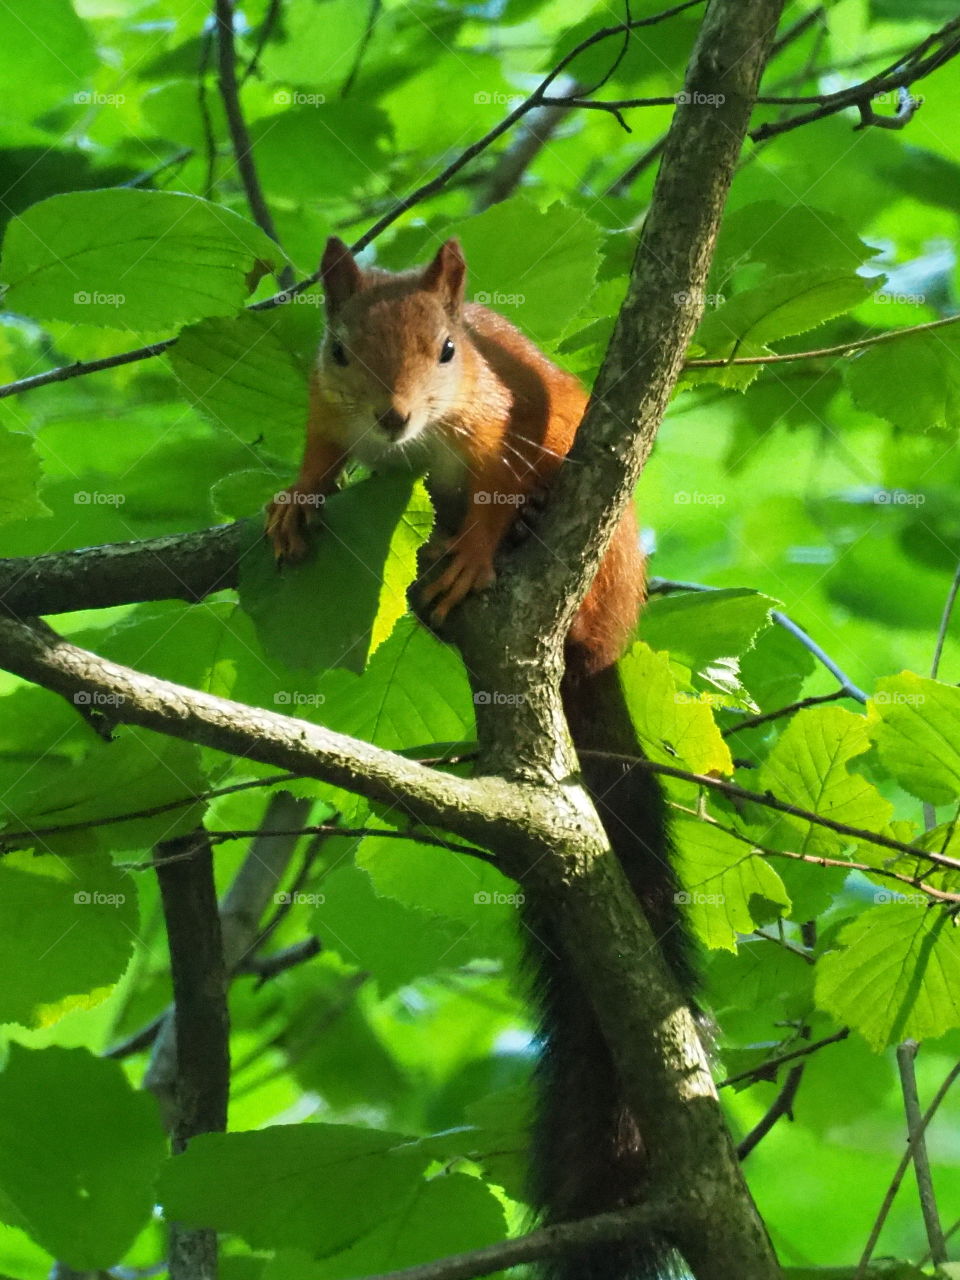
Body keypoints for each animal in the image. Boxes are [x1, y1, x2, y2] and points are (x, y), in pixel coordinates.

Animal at [267, 237, 695, 1280]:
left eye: (450, 350)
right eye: (340, 349)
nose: (393, 415)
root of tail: (604, 653)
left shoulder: (500, 421)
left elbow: (498, 489)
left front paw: (477, 549)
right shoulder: (323, 403)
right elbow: (318, 450)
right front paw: (295, 498)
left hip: (602, 562)